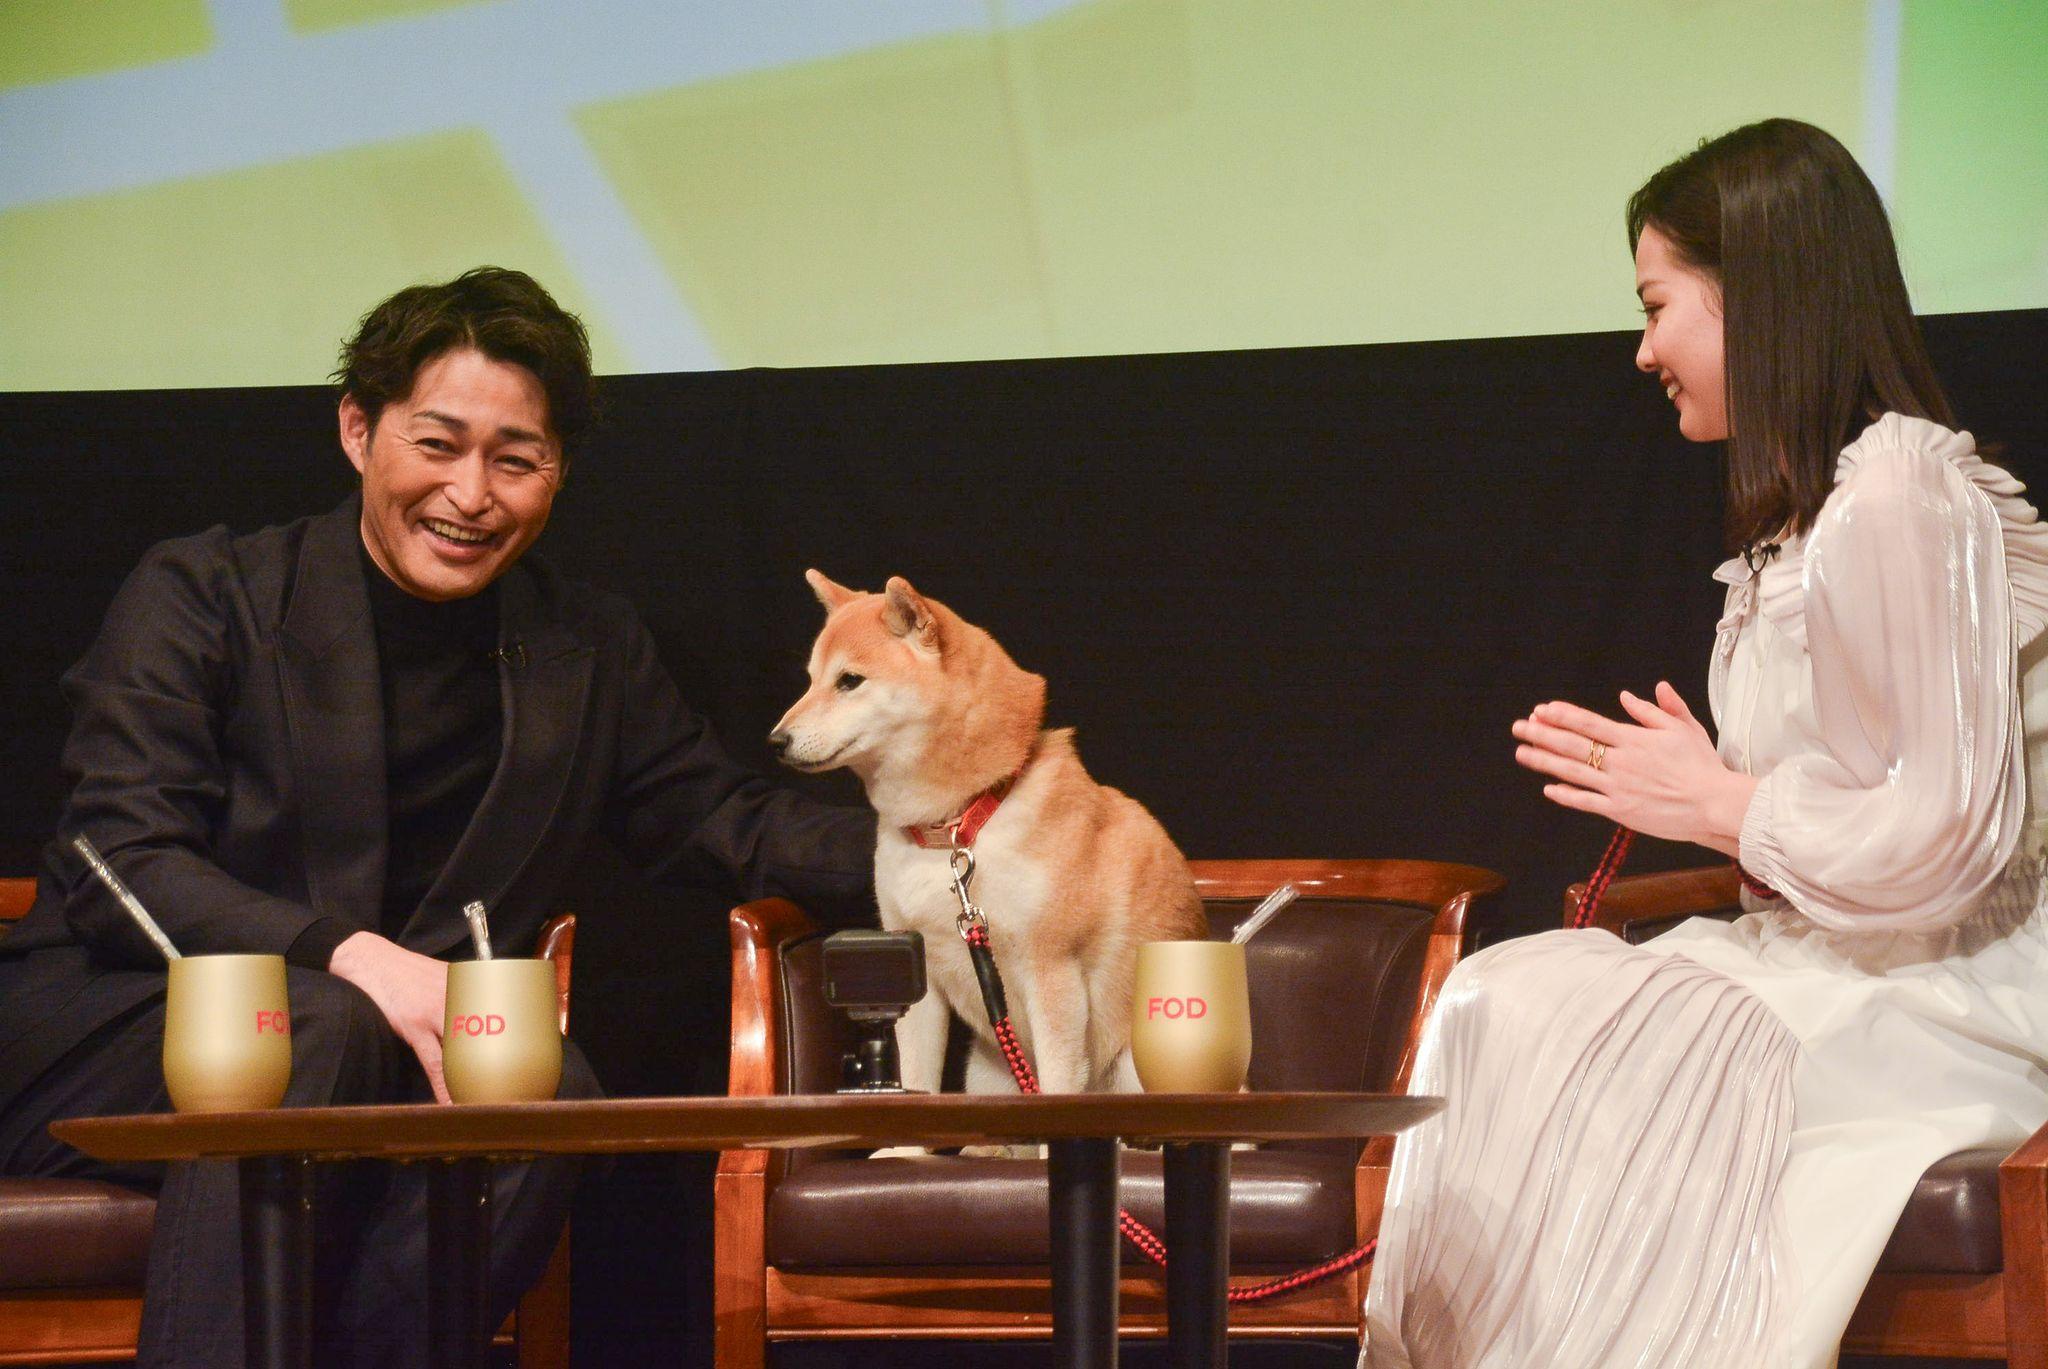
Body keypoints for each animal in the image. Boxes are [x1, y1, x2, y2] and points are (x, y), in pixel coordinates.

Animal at [774, 569, 1204, 1098]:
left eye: (849, 681)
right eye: (811, 681)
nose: (776, 740)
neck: (959, 823)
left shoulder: (1053, 973)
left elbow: (1058, 1081)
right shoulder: (918, 977)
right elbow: (916, 1075)